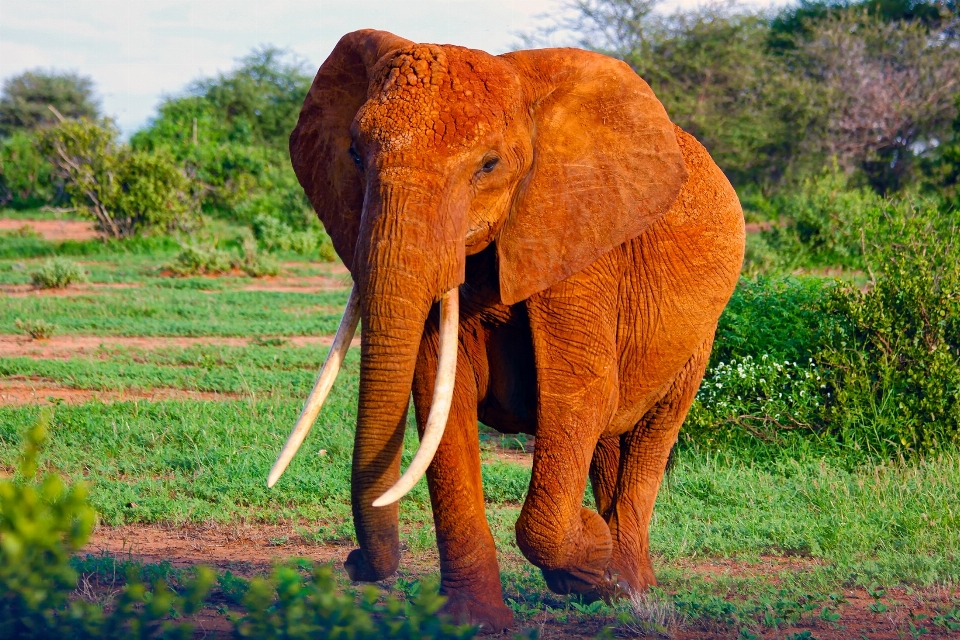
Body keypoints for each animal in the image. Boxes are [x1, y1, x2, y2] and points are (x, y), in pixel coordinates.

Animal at [266, 28, 748, 632]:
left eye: (488, 165)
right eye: (355, 154)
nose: (352, 563)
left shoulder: (577, 238)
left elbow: (580, 393)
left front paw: (590, 552)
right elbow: (439, 397)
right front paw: (473, 623)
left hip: (702, 330)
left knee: (651, 431)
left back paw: (629, 588)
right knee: (610, 441)